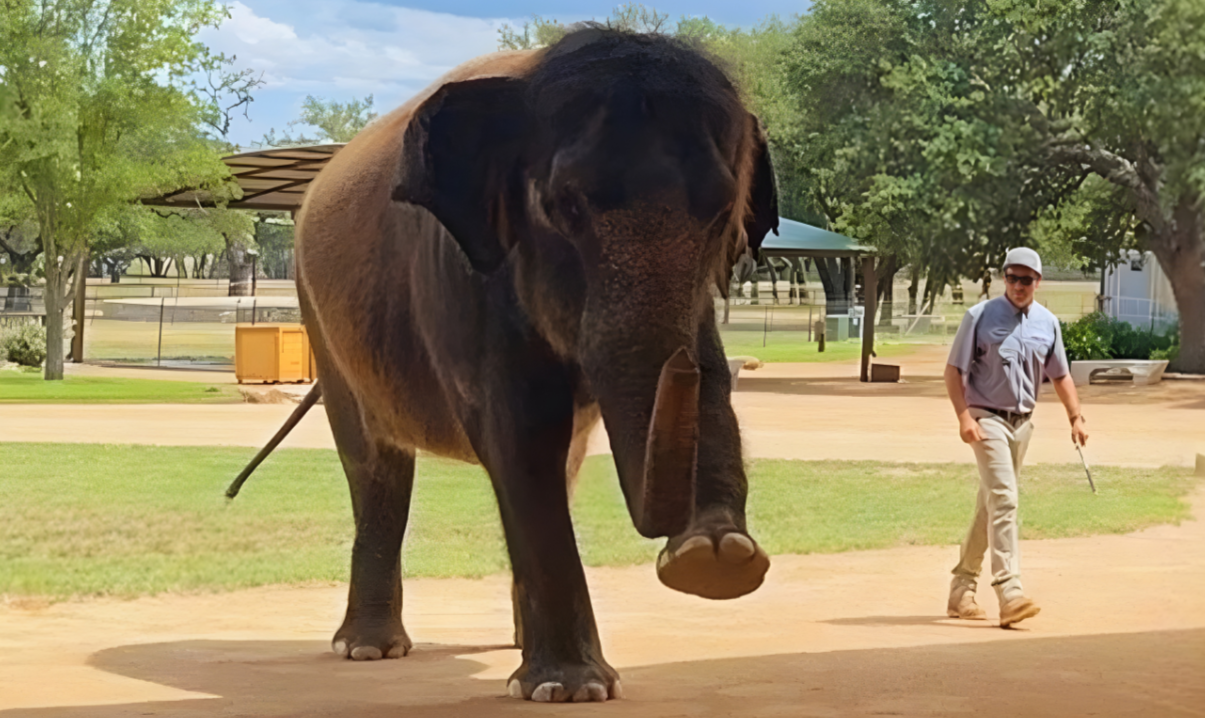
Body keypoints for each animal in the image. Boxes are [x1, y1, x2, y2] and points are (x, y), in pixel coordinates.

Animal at [293, 27, 779, 703]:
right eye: (565, 206)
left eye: (719, 213)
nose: (684, 544)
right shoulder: (467, 284)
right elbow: (519, 439)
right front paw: (570, 688)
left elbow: (707, 391)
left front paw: (718, 558)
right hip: (322, 324)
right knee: (375, 467)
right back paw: (370, 648)